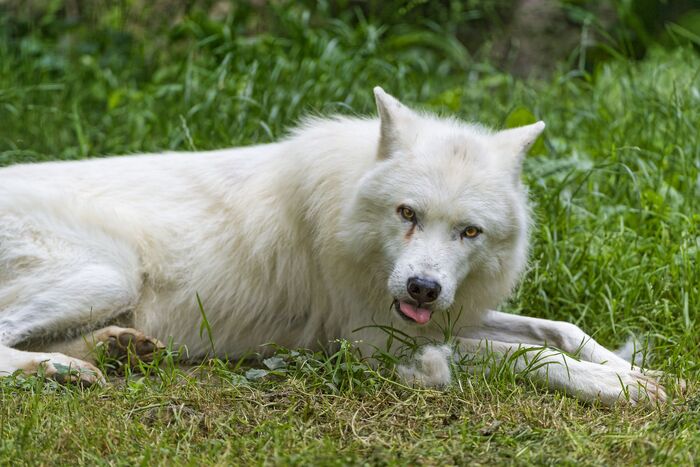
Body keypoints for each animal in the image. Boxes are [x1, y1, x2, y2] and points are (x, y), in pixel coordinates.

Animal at [0, 88, 668, 404]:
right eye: (407, 214)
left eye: (469, 232)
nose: (422, 287)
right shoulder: (374, 341)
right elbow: (530, 355)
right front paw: (620, 389)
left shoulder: (445, 314)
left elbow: (558, 329)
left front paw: (641, 372)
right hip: (109, 274)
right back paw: (62, 368)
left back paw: (112, 352)